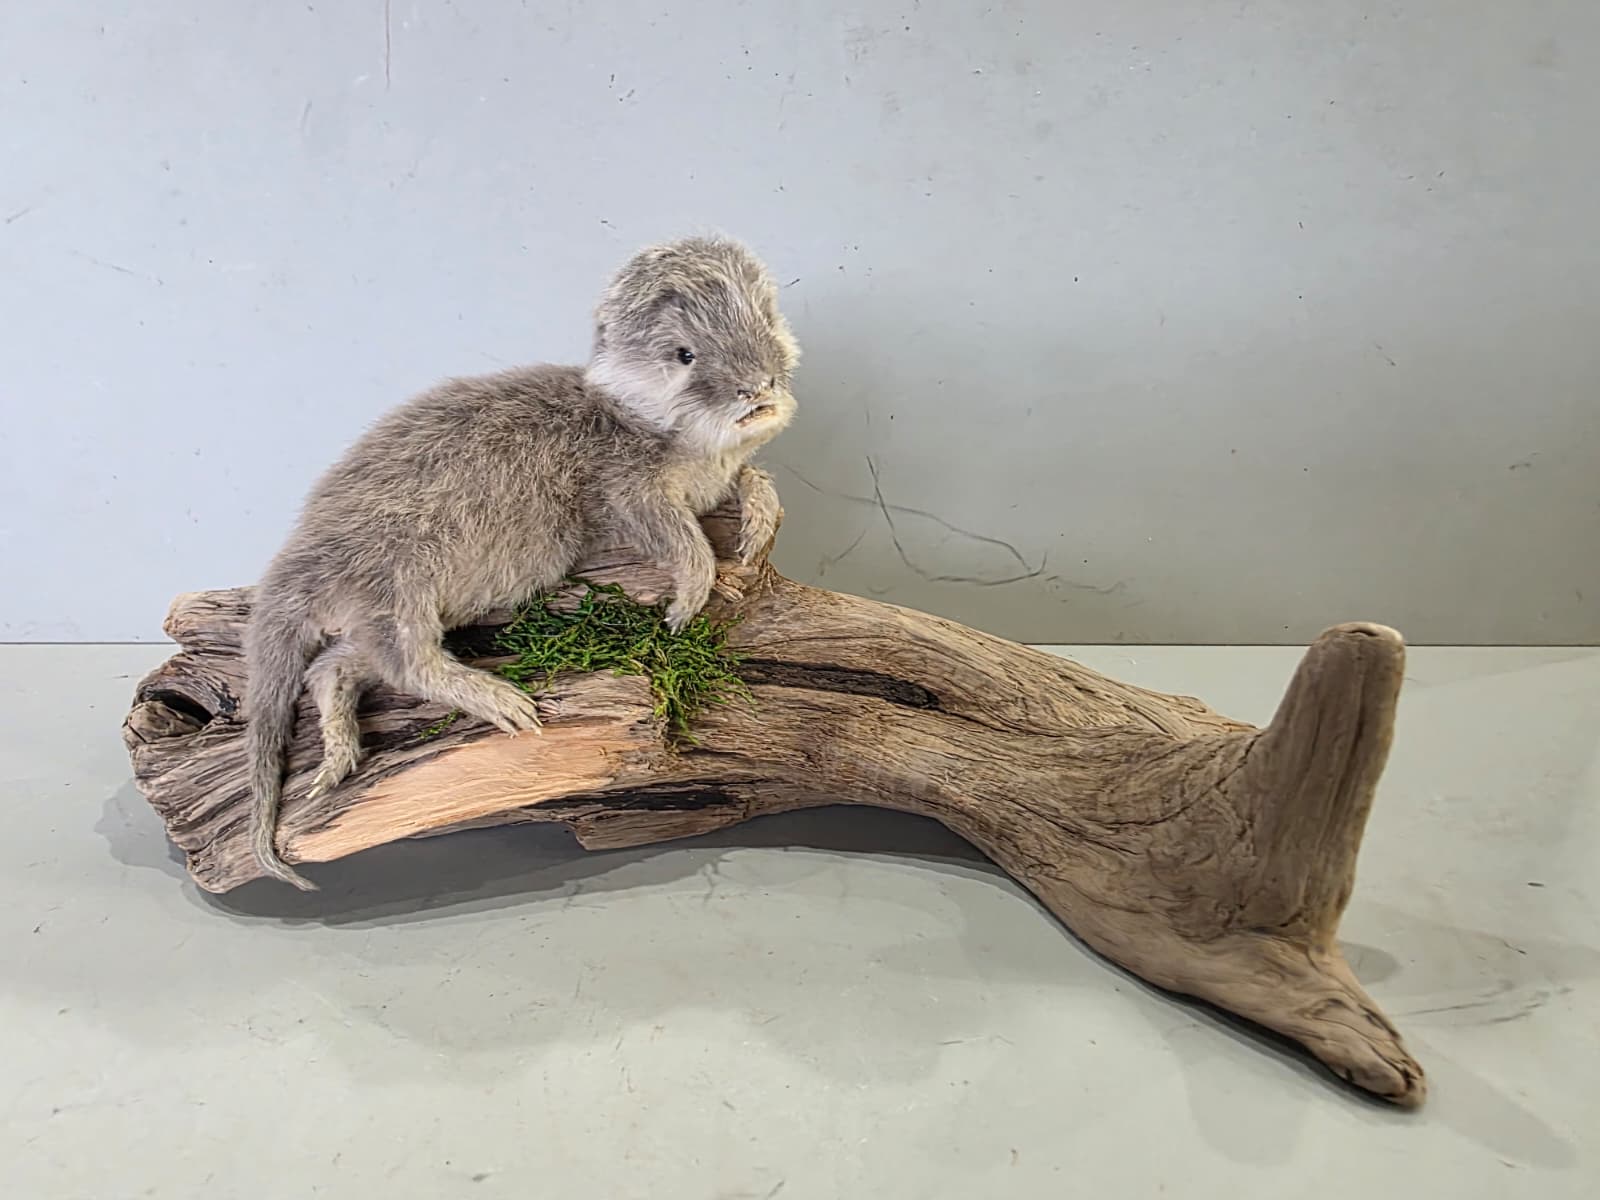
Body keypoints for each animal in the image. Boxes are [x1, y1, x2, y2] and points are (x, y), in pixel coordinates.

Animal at [244, 235, 799, 889]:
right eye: (686, 354)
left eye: (765, 322)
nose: (757, 385)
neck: (643, 424)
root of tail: (302, 560)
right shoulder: (624, 487)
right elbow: (676, 538)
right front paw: (691, 594)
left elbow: (749, 478)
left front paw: (760, 512)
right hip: (398, 577)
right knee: (405, 662)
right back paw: (498, 699)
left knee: (335, 665)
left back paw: (339, 749)